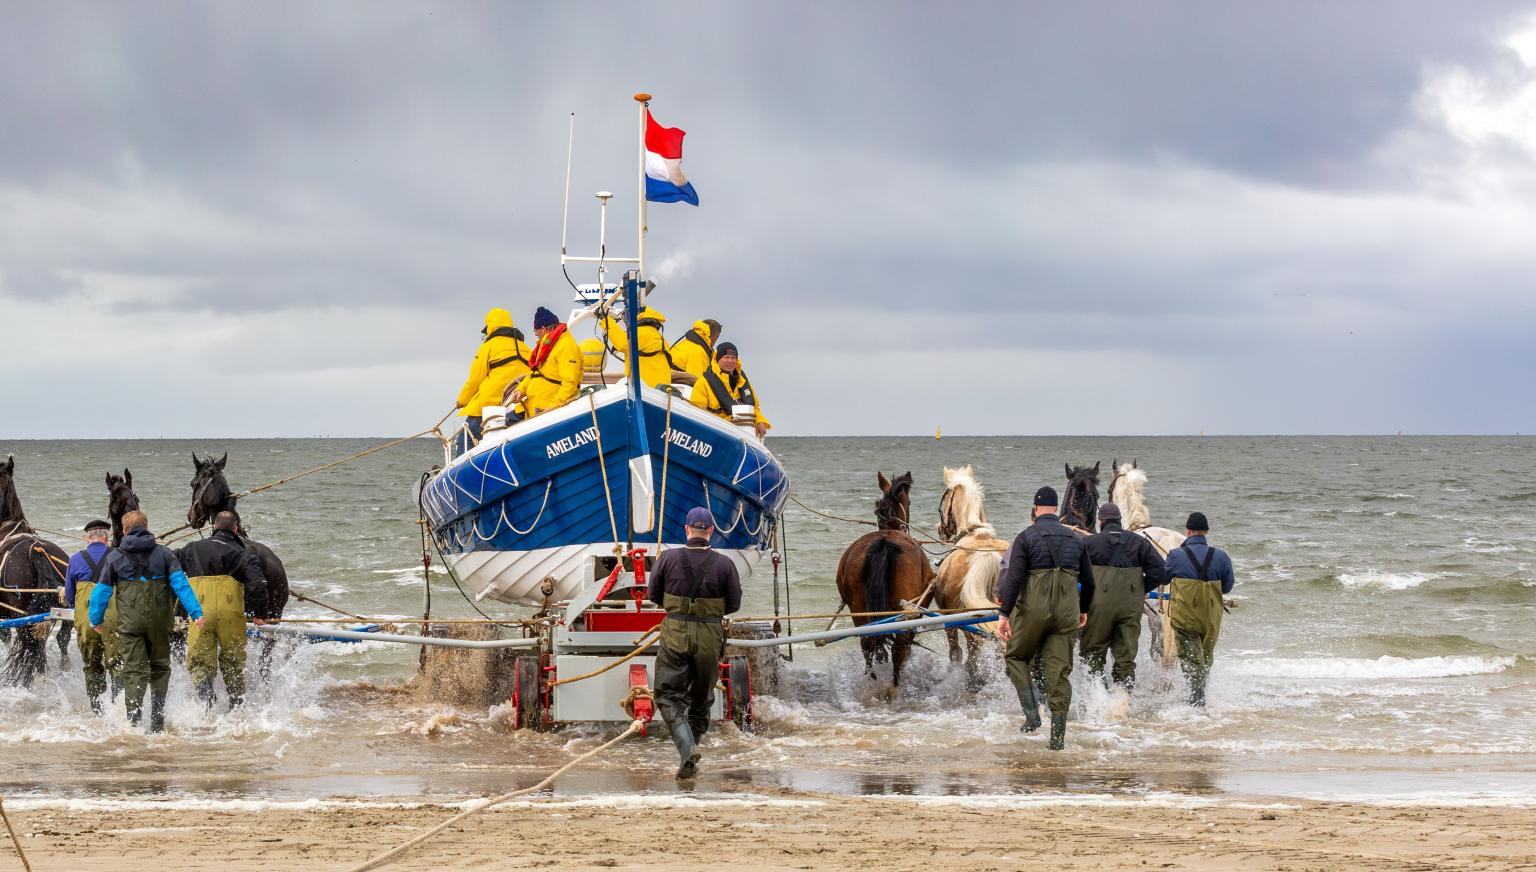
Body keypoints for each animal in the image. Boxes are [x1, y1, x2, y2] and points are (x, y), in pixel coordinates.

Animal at [835, 469, 927, 693]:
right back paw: (895, 687)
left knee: (868, 645)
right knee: (899, 649)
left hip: (860, 610)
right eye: (909, 502)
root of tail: (883, 542)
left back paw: (872, 680)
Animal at [927, 466, 1013, 690]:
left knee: (974, 649)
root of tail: (987, 555)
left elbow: (955, 652)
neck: (975, 534)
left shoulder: (947, 619)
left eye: (944, 497)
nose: (940, 529)